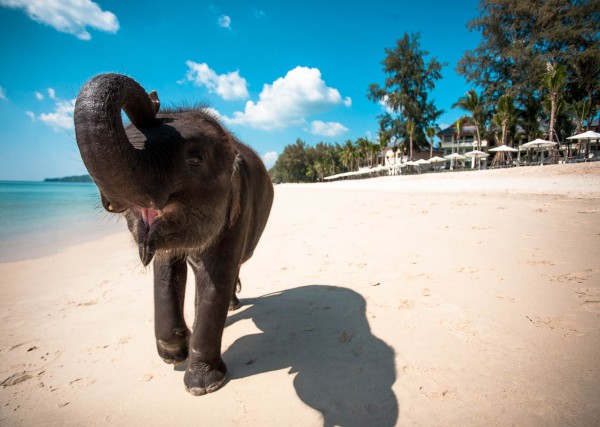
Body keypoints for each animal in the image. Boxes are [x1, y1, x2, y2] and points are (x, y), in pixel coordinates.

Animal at [72, 74, 274, 398]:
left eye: (196, 158)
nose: (153, 99)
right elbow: (166, 269)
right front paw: (174, 354)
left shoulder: (238, 208)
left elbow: (215, 275)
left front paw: (203, 386)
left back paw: (231, 305)